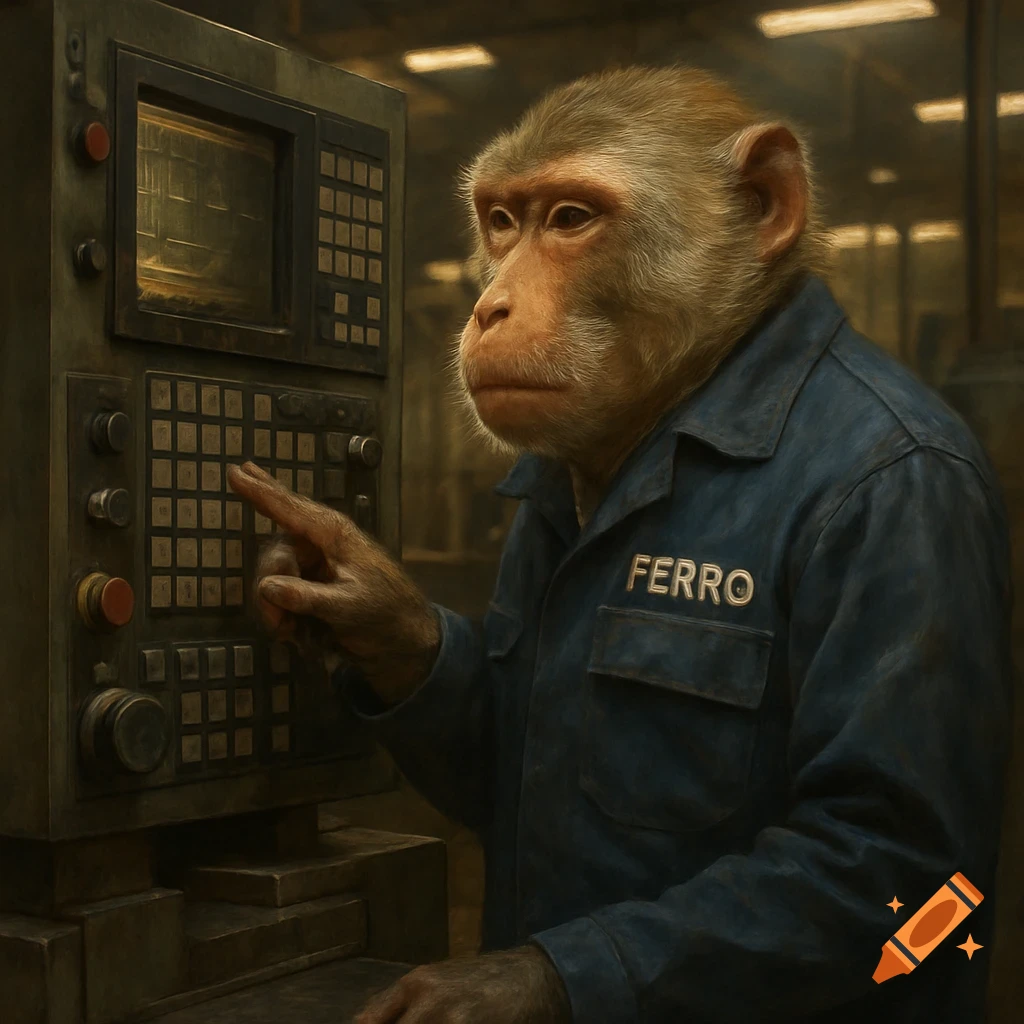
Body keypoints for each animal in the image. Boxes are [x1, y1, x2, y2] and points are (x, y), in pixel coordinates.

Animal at [228, 64, 1012, 1024]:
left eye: (570, 219)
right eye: (502, 221)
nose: (490, 305)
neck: (698, 394)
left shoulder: (900, 509)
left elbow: (875, 827)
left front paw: (496, 987)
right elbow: (491, 738)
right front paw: (364, 599)